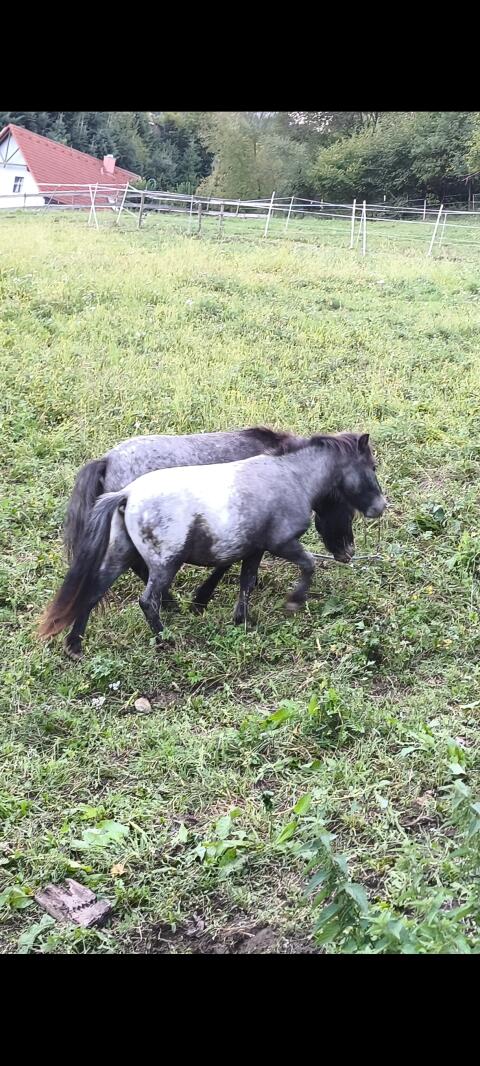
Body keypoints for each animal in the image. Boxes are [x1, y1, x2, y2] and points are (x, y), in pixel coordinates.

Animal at [39, 432, 386, 657]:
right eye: (371, 467)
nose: (381, 506)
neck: (291, 475)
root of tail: (126, 494)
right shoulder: (281, 543)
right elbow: (307, 565)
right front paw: (293, 601)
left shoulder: (254, 548)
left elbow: (246, 581)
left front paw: (240, 620)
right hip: (165, 564)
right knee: (148, 600)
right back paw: (166, 640)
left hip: (119, 557)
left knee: (93, 591)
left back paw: (75, 646)